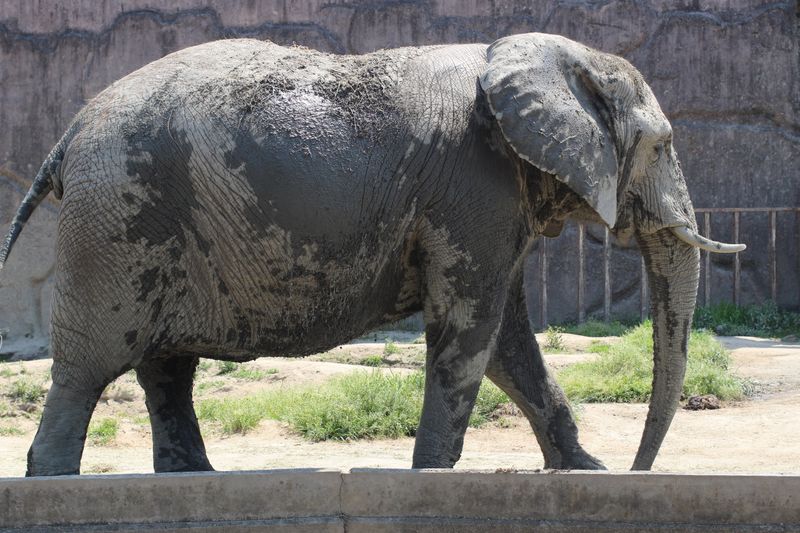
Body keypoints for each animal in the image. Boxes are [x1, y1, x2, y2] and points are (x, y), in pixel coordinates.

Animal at [0, 32, 744, 477]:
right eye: (661, 145)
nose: (638, 471)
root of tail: (68, 133)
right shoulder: (473, 187)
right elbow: (470, 330)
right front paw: (431, 478)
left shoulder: (492, 202)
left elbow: (505, 339)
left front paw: (585, 474)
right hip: (121, 219)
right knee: (91, 365)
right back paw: (55, 479)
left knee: (166, 369)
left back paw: (193, 479)